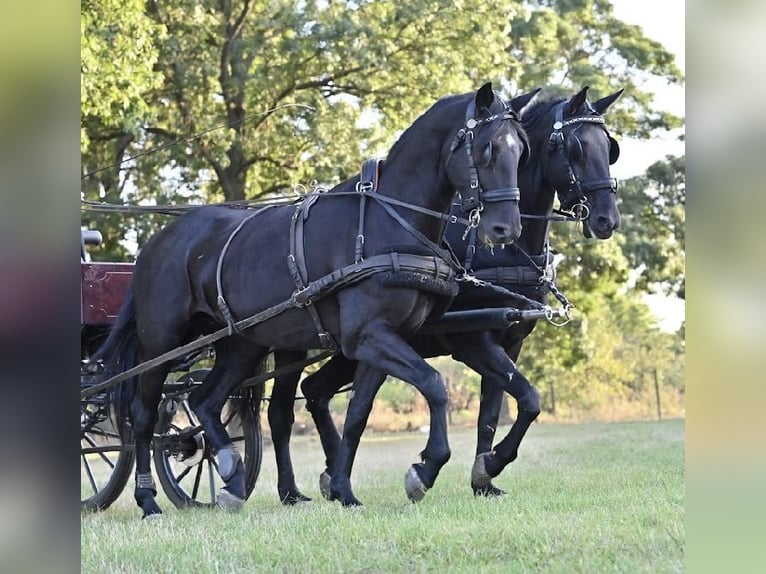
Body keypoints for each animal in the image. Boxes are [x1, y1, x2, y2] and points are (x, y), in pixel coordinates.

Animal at [92, 82, 538, 516]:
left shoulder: (384, 339)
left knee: (205, 401)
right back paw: (149, 499)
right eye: (488, 149)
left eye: (522, 150)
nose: (507, 229)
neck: (389, 222)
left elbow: (359, 413)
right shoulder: (369, 336)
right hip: (161, 343)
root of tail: (156, 243)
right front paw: (424, 470)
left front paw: (343, 488)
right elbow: (434, 385)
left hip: (242, 344)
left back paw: (231, 476)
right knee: (144, 414)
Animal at [266, 85, 623, 504]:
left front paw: (485, 475)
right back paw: (292, 489)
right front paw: (454, 467)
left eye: (609, 147)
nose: (607, 219)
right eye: (576, 147)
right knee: (281, 411)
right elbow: (523, 398)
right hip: (296, 343)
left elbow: (502, 409)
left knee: (315, 391)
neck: (499, 252)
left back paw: (331, 474)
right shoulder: (472, 341)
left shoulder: (510, 341)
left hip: (351, 349)